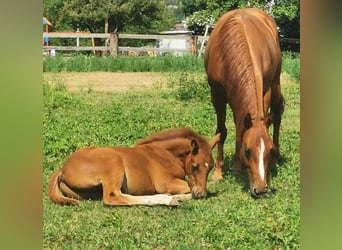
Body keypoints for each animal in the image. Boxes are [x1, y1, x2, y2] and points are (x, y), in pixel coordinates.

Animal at [48, 128, 219, 206]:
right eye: (195, 166)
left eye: (210, 167)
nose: (200, 193)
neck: (165, 154)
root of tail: (62, 169)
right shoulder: (165, 183)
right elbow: (188, 186)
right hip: (114, 162)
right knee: (113, 197)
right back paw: (167, 199)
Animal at [204, 8, 284, 197]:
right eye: (247, 152)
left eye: (269, 150)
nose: (261, 189)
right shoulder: (217, 94)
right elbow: (223, 131)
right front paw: (219, 172)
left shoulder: (265, 91)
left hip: (276, 82)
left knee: (277, 116)